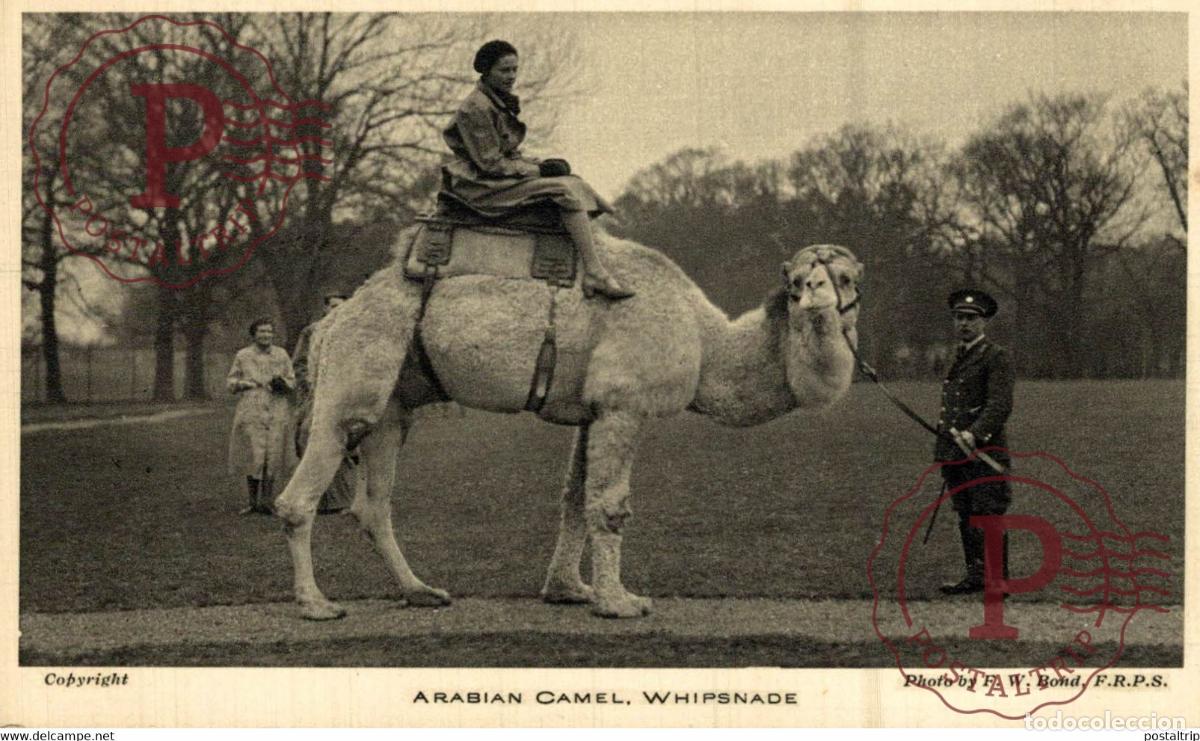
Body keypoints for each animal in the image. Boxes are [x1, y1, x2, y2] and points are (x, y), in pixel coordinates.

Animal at [273, 230, 864, 619]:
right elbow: (610, 507)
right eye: (796, 281)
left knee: (373, 504)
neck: (706, 341)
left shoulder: (592, 413)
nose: (815, 297)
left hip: (393, 410)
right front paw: (619, 602)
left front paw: (568, 590)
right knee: (302, 493)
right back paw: (317, 605)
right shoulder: (624, 406)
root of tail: (333, 319)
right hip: (352, 380)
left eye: (846, 278)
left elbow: (575, 500)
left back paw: (422, 592)